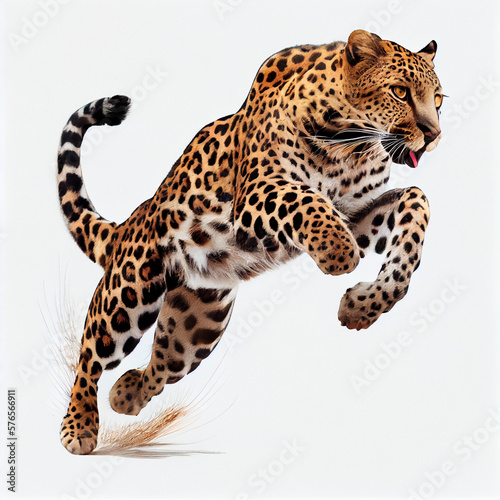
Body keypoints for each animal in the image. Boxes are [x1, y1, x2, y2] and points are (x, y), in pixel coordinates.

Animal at [56, 29, 444, 456]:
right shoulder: (260, 193)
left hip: (197, 326)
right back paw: (78, 427)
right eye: (400, 92)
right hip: (130, 291)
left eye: (438, 98)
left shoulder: (355, 213)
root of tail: (129, 223)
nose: (434, 135)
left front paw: (360, 308)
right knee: (91, 354)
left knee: (162, 366)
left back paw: (126, 395)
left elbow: (417, 202)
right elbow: (305, 200)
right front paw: (338, 255)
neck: (354, 146)